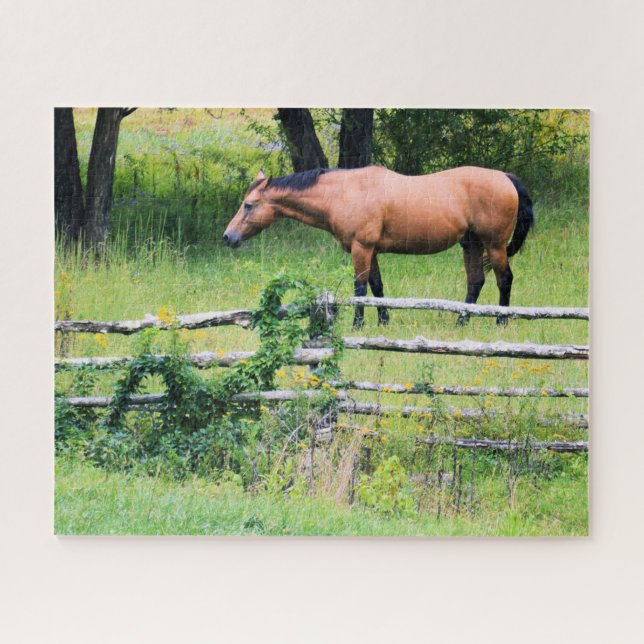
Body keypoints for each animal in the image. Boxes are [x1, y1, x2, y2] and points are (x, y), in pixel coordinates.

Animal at [223, 166, 534, 327]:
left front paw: (357, 325)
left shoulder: (361, 248)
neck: (344, 192)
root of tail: (505, 177)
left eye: (249, 205)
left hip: (494, 245)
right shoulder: (369, 250)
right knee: (476, 281)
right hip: (471, 244)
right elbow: (377, 286)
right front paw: (384, 320)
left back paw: (501, 322)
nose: (228, 237)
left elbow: (360, 289)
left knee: (504, 279)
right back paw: (461, 322)